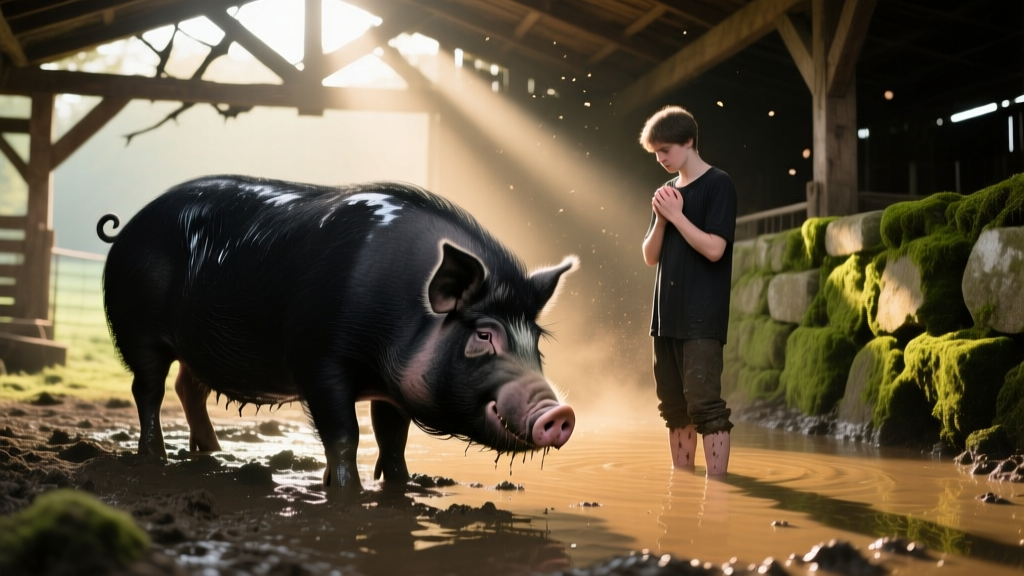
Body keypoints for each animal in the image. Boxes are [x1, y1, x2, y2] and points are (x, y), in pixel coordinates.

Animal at [96, 175, 577, 490]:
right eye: (483, 336)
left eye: (535, 343)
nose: (559, 412)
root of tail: (128, 227)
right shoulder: (317, 361)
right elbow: (345, 434)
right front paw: (347, 492)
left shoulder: (391, 389)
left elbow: (392, 437)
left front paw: (401, 485)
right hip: (137, 329)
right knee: (148, 389)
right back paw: (155, 457)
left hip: (196, 345)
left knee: (188, 388)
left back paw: (211, 453)